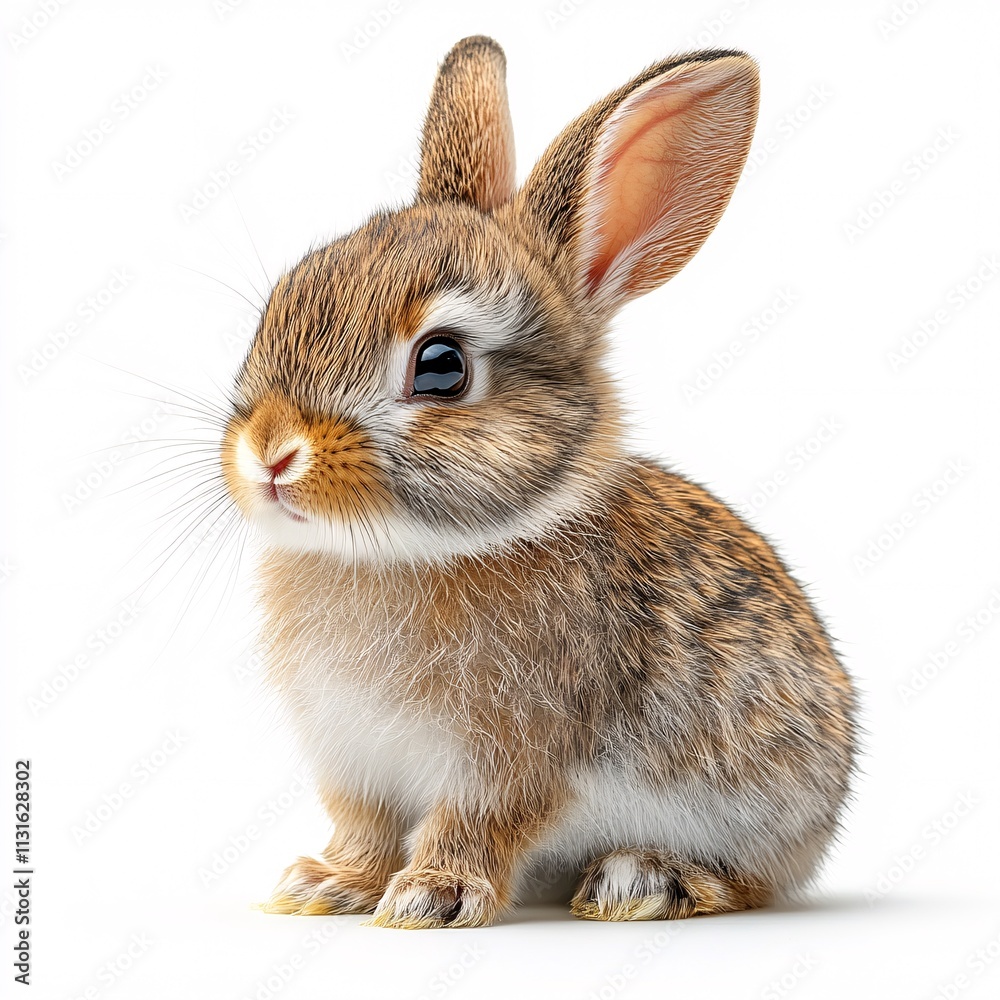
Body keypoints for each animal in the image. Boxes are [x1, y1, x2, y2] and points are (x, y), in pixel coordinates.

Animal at [220, 36, 856, 928]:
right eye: (279, 304)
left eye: (441, 366)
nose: (271, 452)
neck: (405, 552)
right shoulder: (356, 760)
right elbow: (366, 827)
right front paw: (327, 885)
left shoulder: (512, 757)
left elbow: (478, 821)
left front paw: (432, 897)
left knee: (752, 883)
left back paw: (644, 880)